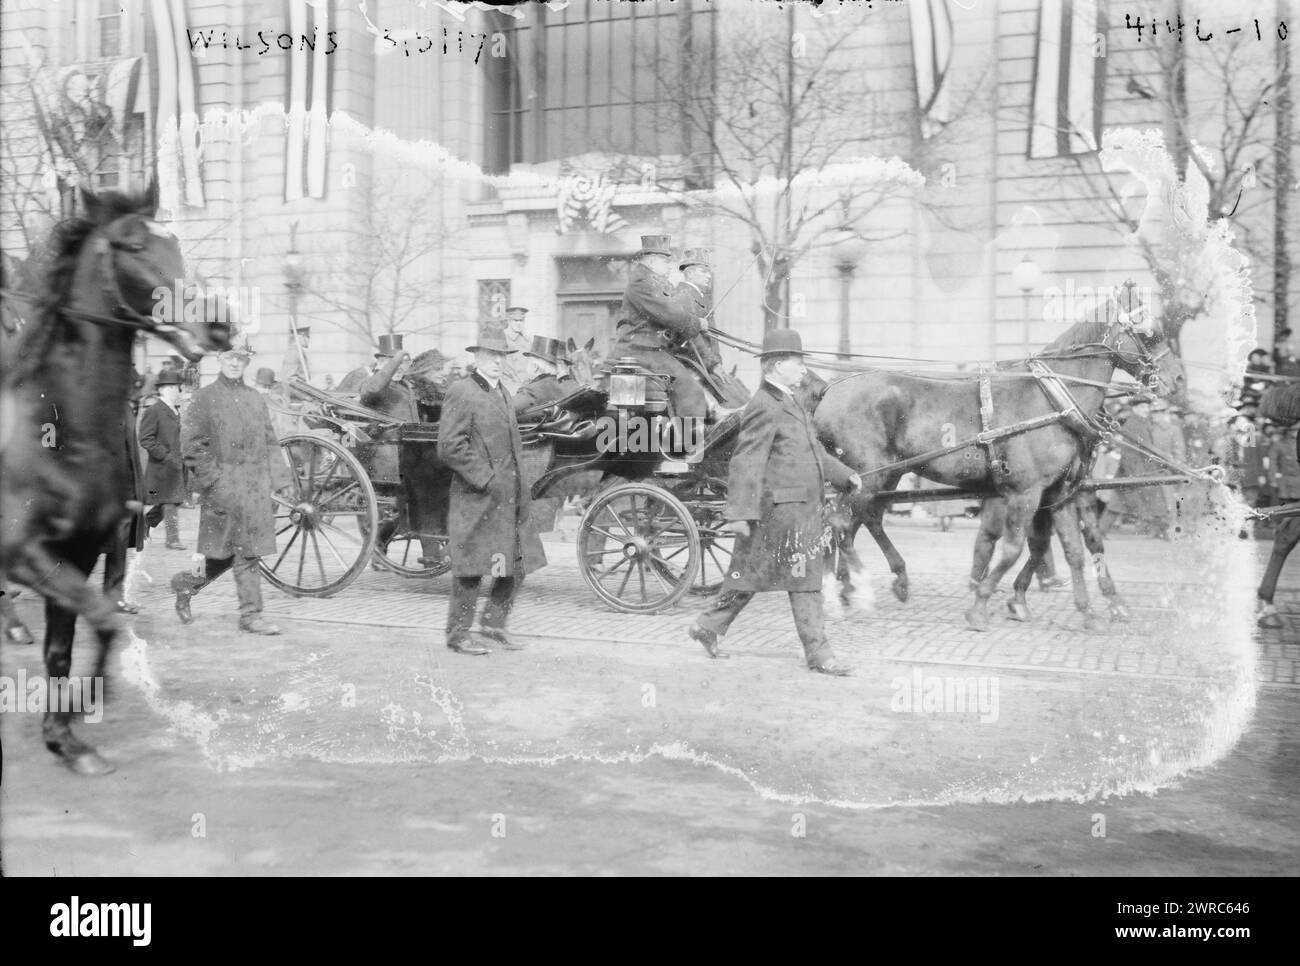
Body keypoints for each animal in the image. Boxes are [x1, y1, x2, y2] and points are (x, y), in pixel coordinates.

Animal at [1, 187, 230, 780]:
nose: (219, 325)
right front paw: (80, 711)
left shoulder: (76, 555)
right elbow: (103, 617)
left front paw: (67, 733)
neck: (56, 436)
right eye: (133, 245)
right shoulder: (26, 553)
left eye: (176, 242)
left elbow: (69, 644)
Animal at [816, 304, 1185, 634]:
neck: (1052, 400)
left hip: (884, 475)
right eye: (1148, 333)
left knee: (864, 521)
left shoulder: (1062, 491)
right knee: (841, 524)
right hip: (866, 475)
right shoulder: (1026, 492)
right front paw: (981, 605)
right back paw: (857, 588)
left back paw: (877, 581)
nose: (1178, 379)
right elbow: (1013, 548)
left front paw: (1088, 611)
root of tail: (828, 391)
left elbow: (1075, 549)